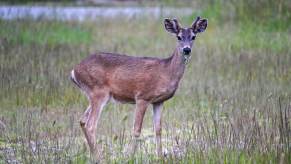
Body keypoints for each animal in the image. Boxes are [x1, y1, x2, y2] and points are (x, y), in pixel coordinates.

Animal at [70, 16, 208, 159]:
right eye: (179, 37)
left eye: (193, 36)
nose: (187, 49)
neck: (166, 71)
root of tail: (74, 71)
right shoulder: (142, 97)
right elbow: (136, 129)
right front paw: (130, 157)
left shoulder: (159, 101)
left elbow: (158, 129)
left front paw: (160, 157)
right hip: (98, 92)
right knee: (91, 125)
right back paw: (99, 157)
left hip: (97, 95)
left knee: (82, 121)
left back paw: (93, 155)